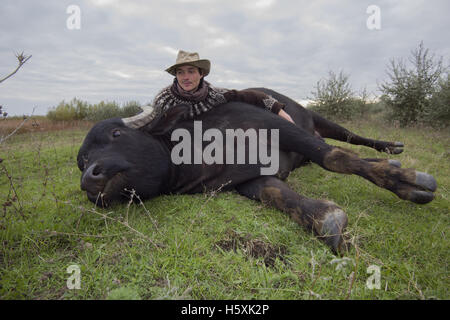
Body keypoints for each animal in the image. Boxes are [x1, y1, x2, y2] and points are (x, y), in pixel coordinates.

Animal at [77, 87, 436, 252]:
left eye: (116, 134)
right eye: (82, 160)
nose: (89, 177)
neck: (201, 147)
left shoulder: (283, 128)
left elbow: (335, 158)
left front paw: (409, 182)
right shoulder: (248, 181)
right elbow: (278, 195)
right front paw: (325, 217)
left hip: (317, 119)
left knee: (350, 138)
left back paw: (391, 152)